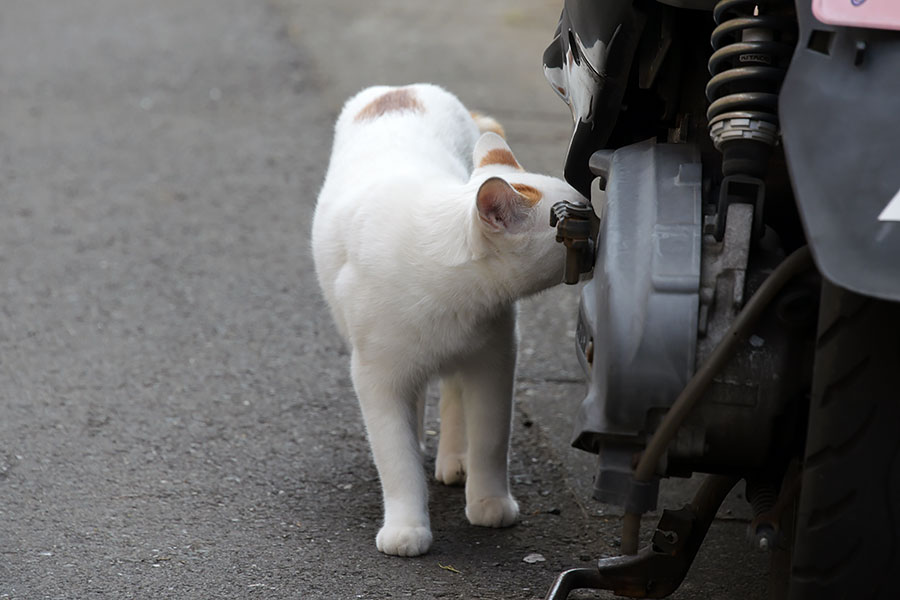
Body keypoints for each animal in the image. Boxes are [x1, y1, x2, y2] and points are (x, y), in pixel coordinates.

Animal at [312, 82, 584, 556]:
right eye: (569, 223)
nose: (604, 221)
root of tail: (400, 89)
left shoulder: (495, 361)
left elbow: (491, 440)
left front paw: (489, 501)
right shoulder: (377, 379)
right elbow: (396, 459)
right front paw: (406, 527)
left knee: (454, 392)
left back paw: (455, 460)